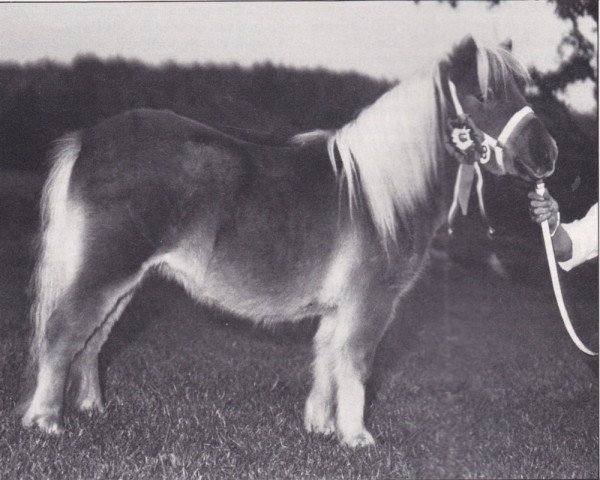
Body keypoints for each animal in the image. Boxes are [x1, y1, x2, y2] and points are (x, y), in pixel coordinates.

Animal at [19, 36, 556, 446]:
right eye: (485, 94)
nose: (547, 153)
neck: (383, 191)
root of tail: (89, 139)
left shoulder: (340, 307)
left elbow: (327, 361)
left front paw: (321, 427)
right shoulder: (373, 301)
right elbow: (356, 364)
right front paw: (357, 438)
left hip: (125, 281)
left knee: (92, 339)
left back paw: (91, 409)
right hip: (105, 270)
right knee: (64, 331)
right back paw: (46, 422)